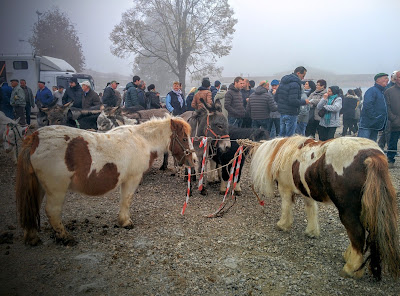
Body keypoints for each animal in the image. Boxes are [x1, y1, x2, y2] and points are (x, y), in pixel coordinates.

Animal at [16, 115, 197, 245]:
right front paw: (125, 222)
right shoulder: (132, 179)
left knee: (33, 207)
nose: (194, 160)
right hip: (56, 189)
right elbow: (126, 199)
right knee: (52, 211)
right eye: (184, 138)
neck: (142, 140)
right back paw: (65, 237)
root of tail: (35, 138)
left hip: (39, 187)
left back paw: (32, 237)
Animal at [252, 136, 398, 280]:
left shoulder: (285, 188)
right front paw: (311, 231)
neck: (285, 152)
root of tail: (371, 155)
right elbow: (311, 209)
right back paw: (349, 257)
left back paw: (351, 268)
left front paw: (283, 225)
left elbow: (286, 206)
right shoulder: (307, 191)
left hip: (347, 210)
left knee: (357, 232)